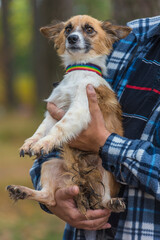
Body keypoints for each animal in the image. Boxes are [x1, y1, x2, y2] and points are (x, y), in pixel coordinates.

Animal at [6, 14, 131, 214]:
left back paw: (114, 203)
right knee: (49, 196)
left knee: (103, 202)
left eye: (89, 29)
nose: (72, 38)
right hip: (50, 164)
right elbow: (41, 129)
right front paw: (31, 142)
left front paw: (44, 143)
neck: (78, 70)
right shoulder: (54, 109)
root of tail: (81, 180)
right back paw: (21, 191)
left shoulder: (79, 108)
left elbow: (58, 127)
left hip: (106, 169)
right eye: (67, 29)